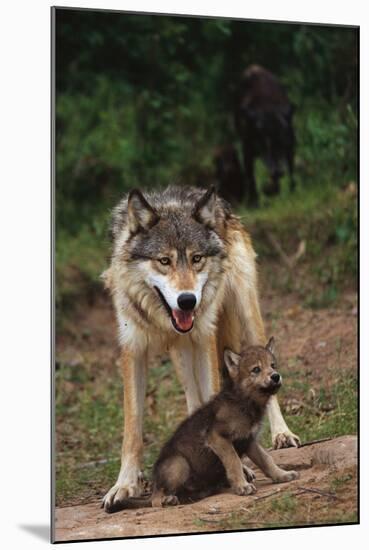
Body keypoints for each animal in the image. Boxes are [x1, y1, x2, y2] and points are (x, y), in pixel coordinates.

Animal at [100, 187, 300, 516]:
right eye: (164, 261)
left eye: (196, 259)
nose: (187, 301)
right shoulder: (133, 347)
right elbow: (132, 428)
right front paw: (124, 486)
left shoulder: (204, 335)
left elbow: (213, 396)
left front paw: (241, 466)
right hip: (181, 354)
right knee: (193, 400)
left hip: (244, 314)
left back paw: (282, 434)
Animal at [234, 64, 294, 203]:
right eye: (264, 142)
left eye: (282, 141)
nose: (278, 171)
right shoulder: (247, 149)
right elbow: (250, 175)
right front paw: (254, 201)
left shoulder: (289, 145)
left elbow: (288, 169)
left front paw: (272, 190)